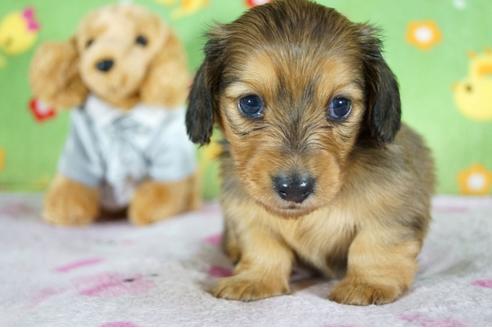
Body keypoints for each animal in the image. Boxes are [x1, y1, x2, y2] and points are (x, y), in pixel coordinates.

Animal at [185, 0, 434, 306]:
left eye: (340, 105)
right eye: (250, 103)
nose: (294, 189)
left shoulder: (394, 208)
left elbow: (374, 244)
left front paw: (367, 283)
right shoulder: (247, 214)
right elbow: (264, 247)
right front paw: (255, 279)